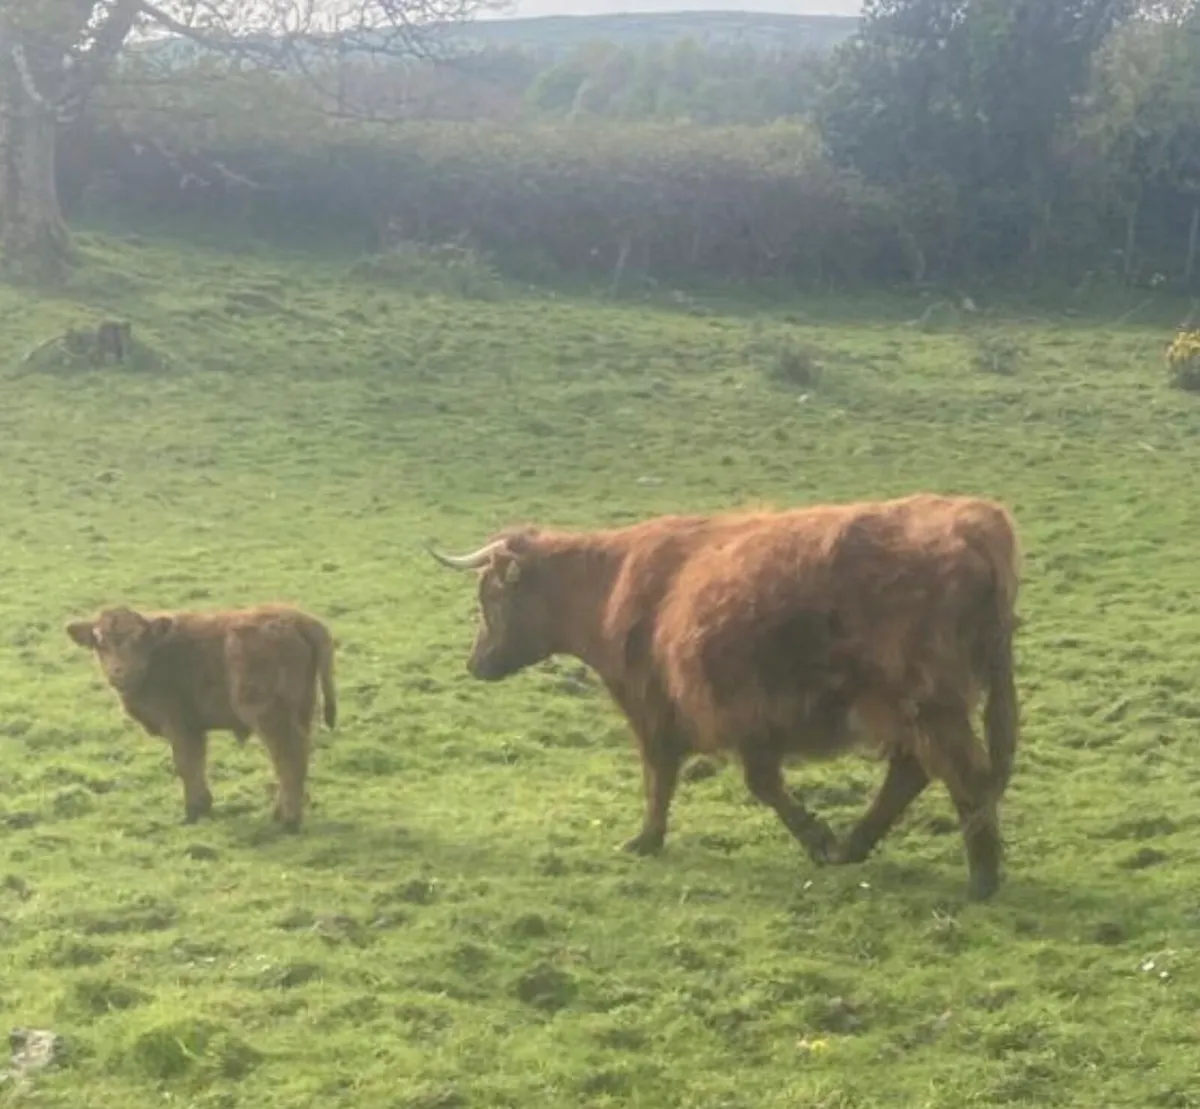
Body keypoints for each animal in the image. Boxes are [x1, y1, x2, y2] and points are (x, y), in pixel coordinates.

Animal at [65, 603, 337, 831]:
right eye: (100, 642)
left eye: (138, 638)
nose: (119, 671)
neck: (158, 651)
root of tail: (295, 618)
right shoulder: (194, 728)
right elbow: (197, 762)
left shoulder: (178, 725)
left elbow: (186, 765)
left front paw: (193, 811)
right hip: (300, 713)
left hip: (271, 718)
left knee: (288, 758)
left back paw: (289, 821)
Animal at [427, 492, 1021, 901]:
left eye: (489, 597)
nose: (474, 663)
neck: (610, 585)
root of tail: (976, 524)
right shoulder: (746, 718)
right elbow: (754, 781)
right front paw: (820, 839)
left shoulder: (659, 705)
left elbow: (665, 776)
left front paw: (647, 840)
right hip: (910, 709)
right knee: (914, 772)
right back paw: (858, 845)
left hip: (929, 703)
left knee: (963, 775)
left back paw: (982, 878)